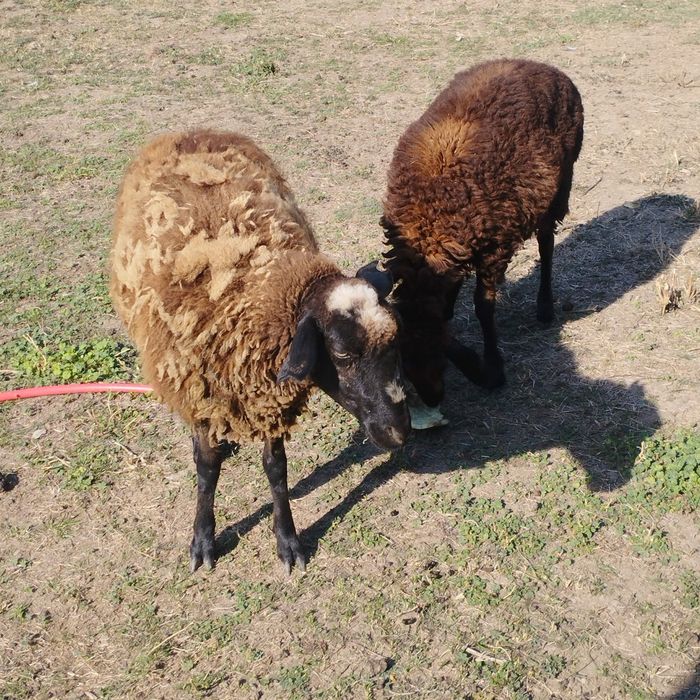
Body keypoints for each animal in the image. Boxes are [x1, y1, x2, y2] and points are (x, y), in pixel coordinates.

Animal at [110, 129, 410, 573]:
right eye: (341, 355)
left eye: (396, 340)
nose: (400, 433)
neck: (257, 293)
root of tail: (190, 131)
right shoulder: (202, 389)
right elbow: (207, 468)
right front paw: (203, 540)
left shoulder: (267, 393)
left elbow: (276, 469)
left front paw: (288, 541)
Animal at [381, 59, 584, 407]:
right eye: (402, 361)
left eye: (433, 354)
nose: (432, 399)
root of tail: (546, 67)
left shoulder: (493, 249)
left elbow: (483, 307)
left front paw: (491, 367)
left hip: (561, 184)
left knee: (546, 244)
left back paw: (545, 307)